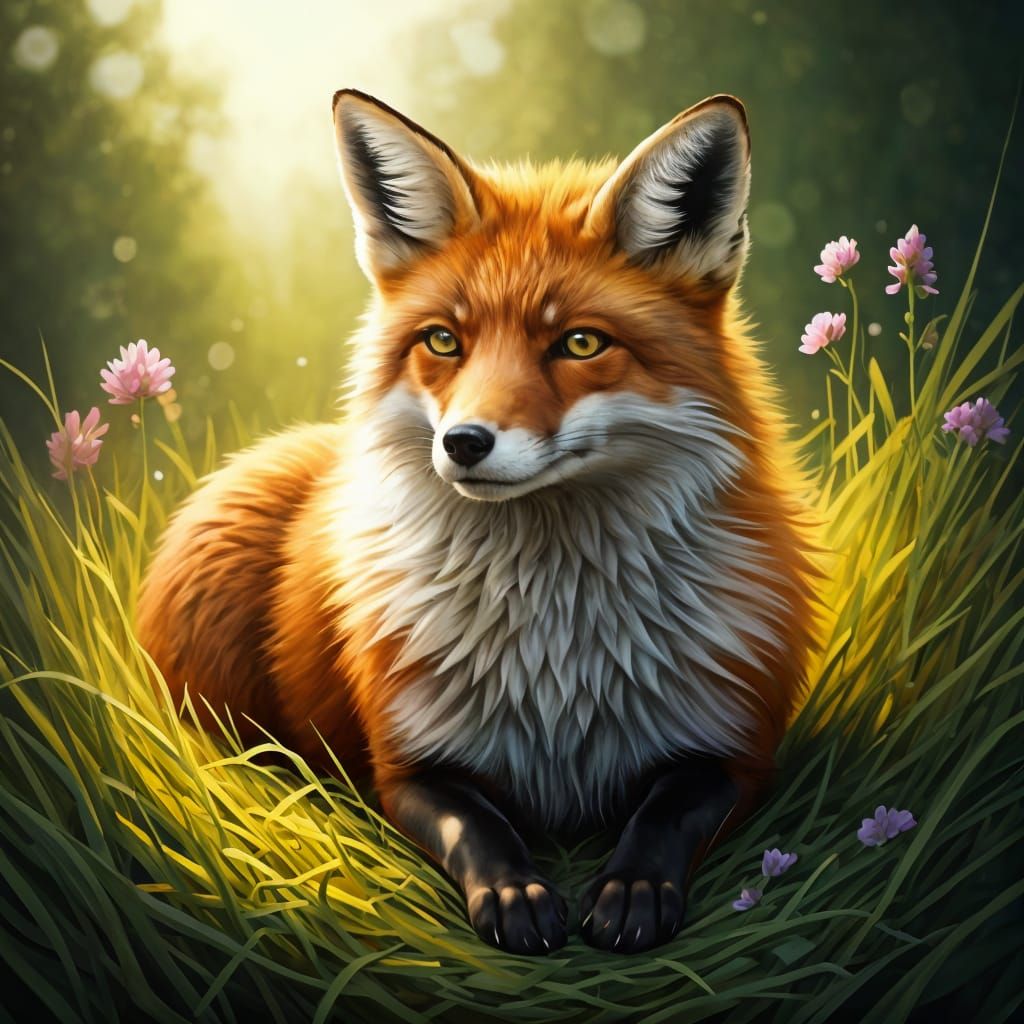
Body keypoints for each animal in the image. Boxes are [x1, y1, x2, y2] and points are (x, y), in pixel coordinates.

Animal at [137, 89, 820, 956]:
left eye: (580, 343)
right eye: (443, 340)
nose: (462, 443)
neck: (560, 654)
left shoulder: (737, 745)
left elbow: (665, 811)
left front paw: (632, 888)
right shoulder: (406, 762)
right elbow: (478, 825)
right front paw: (516, 893)